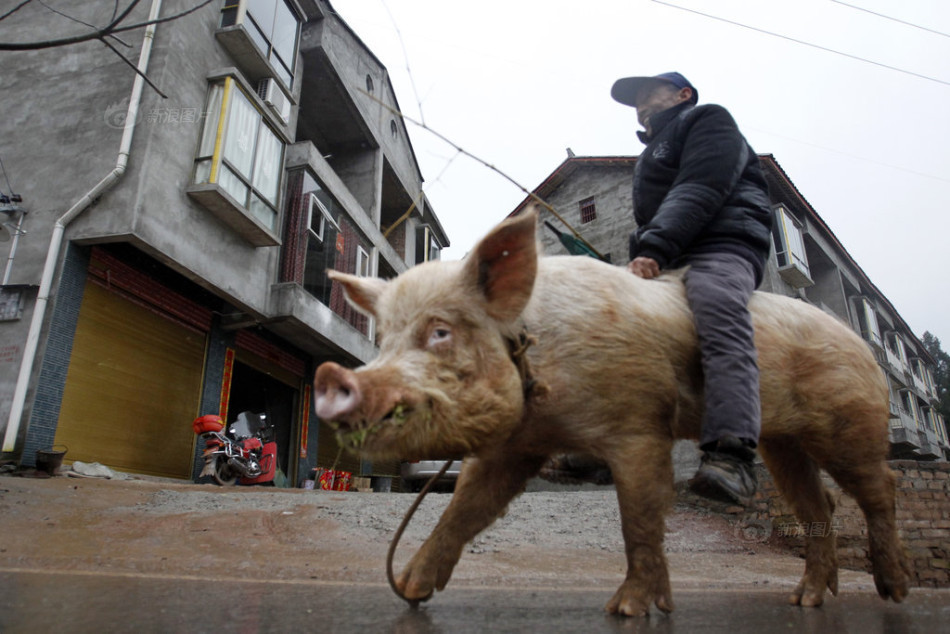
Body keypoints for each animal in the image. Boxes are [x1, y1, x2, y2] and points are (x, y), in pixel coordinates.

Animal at [312, 210, 908, 616]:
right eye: (384, 340)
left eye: (440, 332)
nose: (331, 377)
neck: (538, 357)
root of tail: (861, 346)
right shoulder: (518, 445)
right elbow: (465, 510)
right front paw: (410, 590)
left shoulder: (640, 425)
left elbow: (638, 517)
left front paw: (626, 610)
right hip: (782, 442)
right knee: (820, 505)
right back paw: (804, 600)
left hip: (852, 423)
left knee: (881, 488)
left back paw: (893, 590)